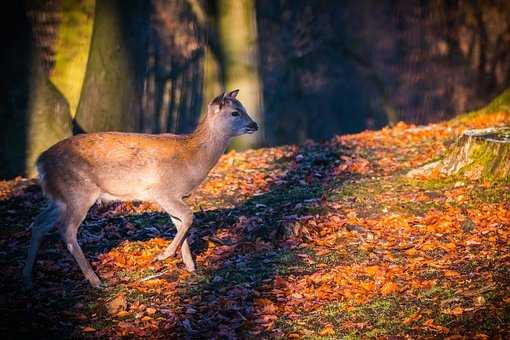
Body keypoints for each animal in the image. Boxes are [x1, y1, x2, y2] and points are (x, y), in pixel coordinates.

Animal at [21, 89, 256, 288]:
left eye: (244, 108)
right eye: (235, 112)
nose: (255, 125)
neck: (191, 159)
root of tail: (40, 163)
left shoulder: (171, 196)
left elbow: (181, 223)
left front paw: (190, 266)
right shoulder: (163, 191)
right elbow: (189, 217)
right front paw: (164, 256)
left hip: (60, 198)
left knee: (39, 223)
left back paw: (27, 278)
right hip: (78, 192)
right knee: (67, 230)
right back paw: (95, 280)